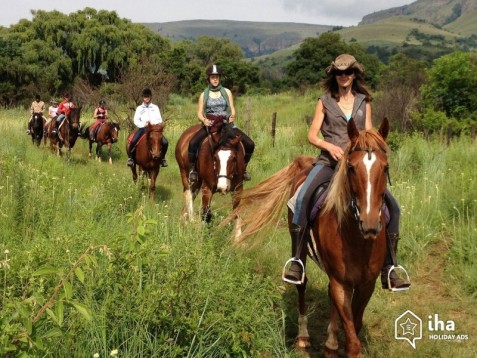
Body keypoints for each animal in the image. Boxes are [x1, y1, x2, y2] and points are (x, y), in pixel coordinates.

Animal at [223, 119, 390, 356]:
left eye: (385, 168)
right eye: (351, 168)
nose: (370, 224)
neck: (357, 240)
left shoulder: (366, 285)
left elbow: (354, 327)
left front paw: (333, 342)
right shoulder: (341, 282)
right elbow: (352, 341)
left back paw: (330, 342)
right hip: (299, 247)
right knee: (301, 283)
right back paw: (303, 337)